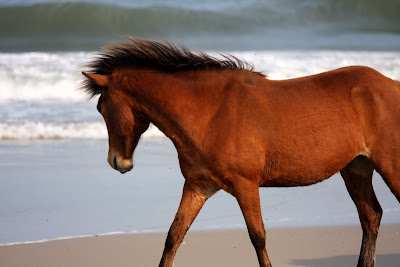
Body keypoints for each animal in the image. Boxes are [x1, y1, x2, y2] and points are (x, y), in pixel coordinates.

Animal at [79, 36, 398, 267]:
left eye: (101, 107)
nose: (118, 162)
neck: (210, 112)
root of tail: (390, 84)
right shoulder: (198, 187)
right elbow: (174, 236)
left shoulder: (246, 185)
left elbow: (258, 237)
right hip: (355, 169)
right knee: (371, 217)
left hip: (390, 167)